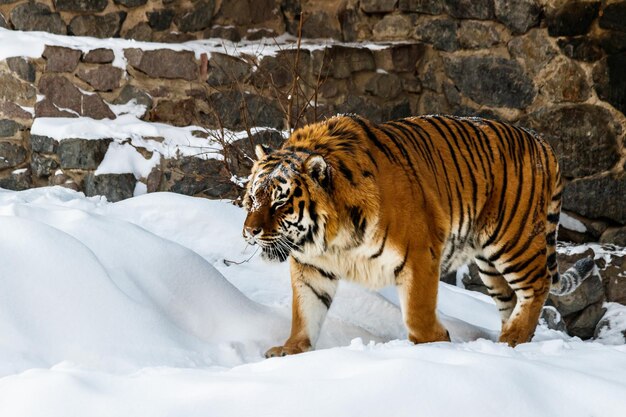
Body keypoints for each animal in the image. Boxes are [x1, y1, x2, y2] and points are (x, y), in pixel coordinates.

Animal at [241, 114, 592, 358]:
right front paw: (291, 350)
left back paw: (514, 338)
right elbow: (305, 312)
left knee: (537, 284)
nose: (249, 231)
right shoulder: (312, 266)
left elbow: (417, 313)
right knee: (512, 299)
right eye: (253, 198)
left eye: (280, 202)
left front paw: (434, 347)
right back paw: (511, 342)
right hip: (489, 265)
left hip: (513, 240)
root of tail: (542, 141)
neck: (330, 239)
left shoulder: (419, 254)